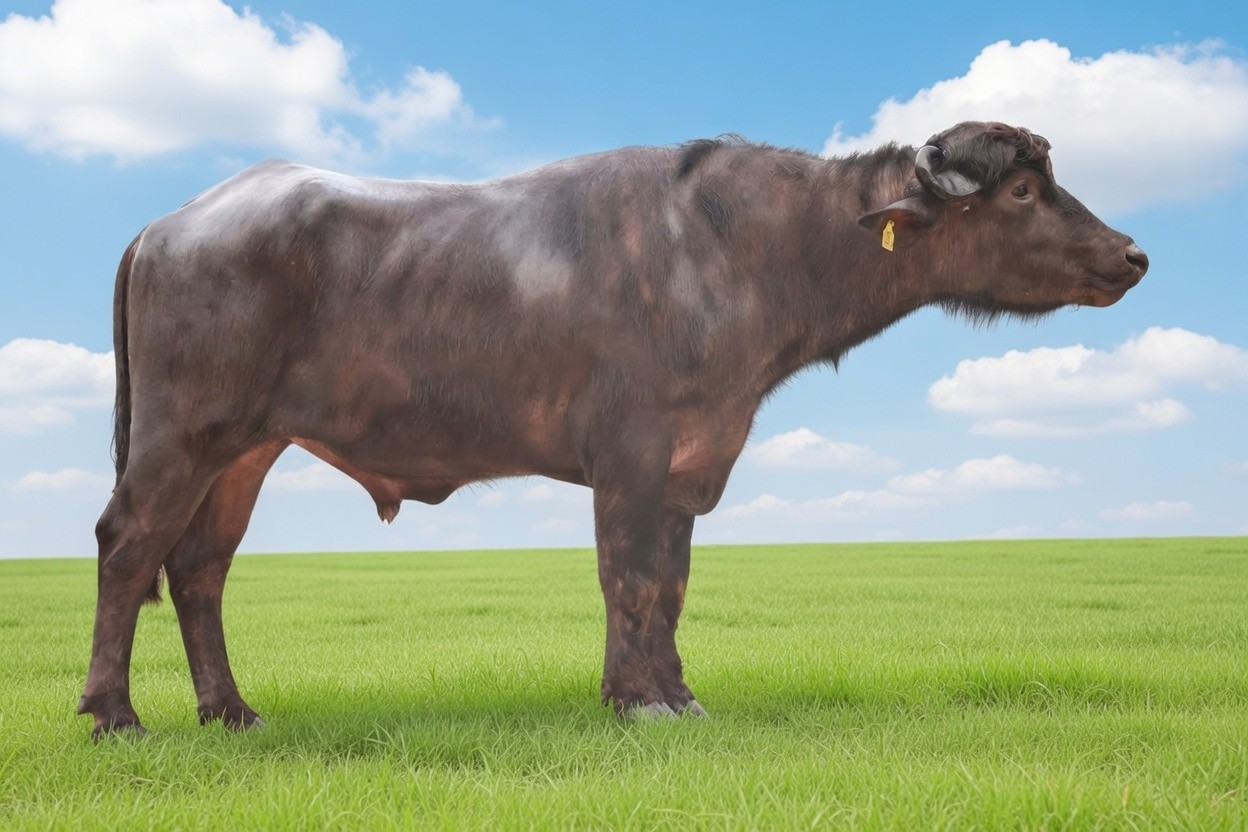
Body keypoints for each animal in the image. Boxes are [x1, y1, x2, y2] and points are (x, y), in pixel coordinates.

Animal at [80, 121, 1147, 738]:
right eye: (1022, 191)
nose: (1132, 254)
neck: (742, 249)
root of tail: (174, 225)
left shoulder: (692, 458)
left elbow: (668, 585)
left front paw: (674, 693)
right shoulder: (629, 455)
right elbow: (627, 576)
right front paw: (636, 702)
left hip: (244, 449)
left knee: (200, 568)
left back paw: (231, 712)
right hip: (182, 433)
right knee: (127, 545)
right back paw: (114, 716)